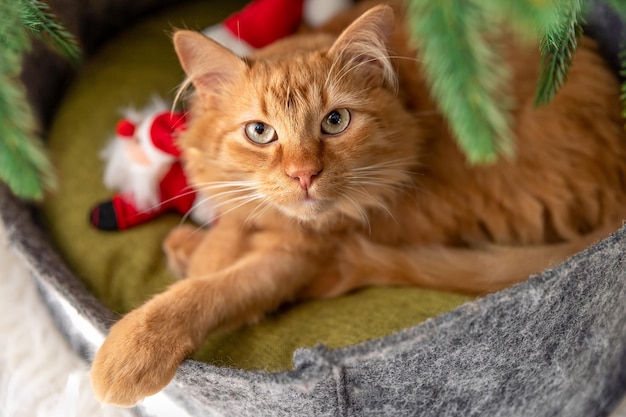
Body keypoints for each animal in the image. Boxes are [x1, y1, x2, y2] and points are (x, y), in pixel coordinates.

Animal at [91, 1, 624, 404]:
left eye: (335, 121)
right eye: (260, 132)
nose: (304, 175)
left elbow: (213, 290)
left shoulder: (297, 256)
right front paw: (204, 247)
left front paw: (133, 348)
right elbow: (230, 225)